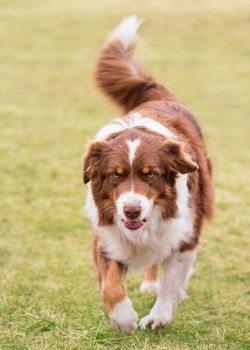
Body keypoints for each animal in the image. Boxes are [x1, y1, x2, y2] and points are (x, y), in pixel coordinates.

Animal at [83, 16, 214, 334]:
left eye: (151, 174)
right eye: (115, 175)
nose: (131, 211)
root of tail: (158, 95)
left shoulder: (185, 231)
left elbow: (173, 277)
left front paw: (159, 315)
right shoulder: (107, 236)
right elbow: (110, 285)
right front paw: (124, 318)